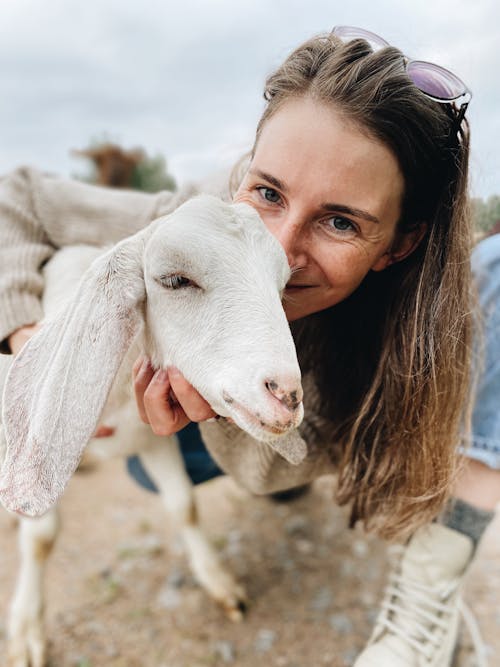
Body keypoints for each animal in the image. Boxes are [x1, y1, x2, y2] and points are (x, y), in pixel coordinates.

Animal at [0, 196, 304, 667]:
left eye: (284, 286)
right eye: (176, 280)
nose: (286, 395)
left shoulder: (150, 438)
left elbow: (184, 507)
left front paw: (219, 582)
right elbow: (41, 538)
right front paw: (27, 632)